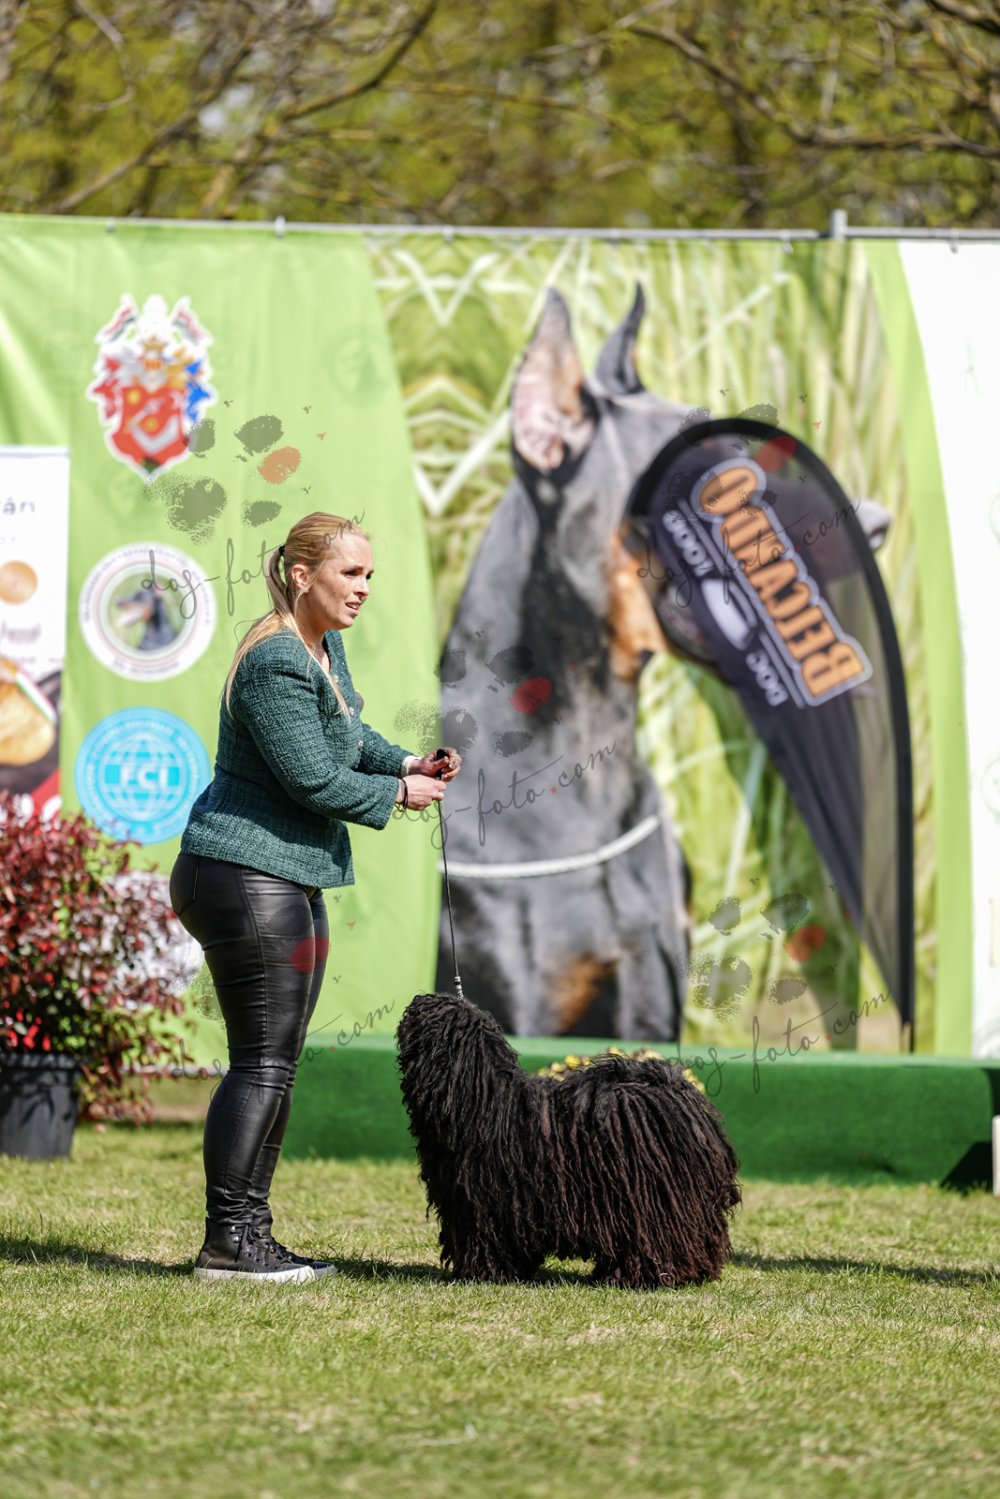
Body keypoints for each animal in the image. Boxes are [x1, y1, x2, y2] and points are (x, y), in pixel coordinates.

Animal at [397, 990, 742, 1290]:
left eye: (423, 1017)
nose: (413, 1005)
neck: (483, 1099)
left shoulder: (481, 1203)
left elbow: (486, 1241)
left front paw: (484, 1273)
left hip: (652, 1200)